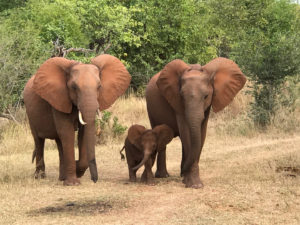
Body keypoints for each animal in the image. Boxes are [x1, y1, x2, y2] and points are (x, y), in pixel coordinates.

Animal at [24, 54, 131, 185]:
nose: (94, 180)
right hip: (30, 114)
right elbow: (67, 132)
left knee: (59, 142)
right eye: (74, 87)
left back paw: (61, 177)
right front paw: (72, 183)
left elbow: (83, 134)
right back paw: (40, 177)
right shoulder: (59, 99)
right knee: (39, 141)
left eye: (99, 87)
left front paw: (77, 170)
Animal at [145, 57, 246, 188]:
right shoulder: (177, 103)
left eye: (206, 96)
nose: (183, 171)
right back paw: (164, 176)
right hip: (151, 109)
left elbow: (201, 135)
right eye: (182, 96)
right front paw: (194, 185)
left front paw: (192, 182)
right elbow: (186, 133)